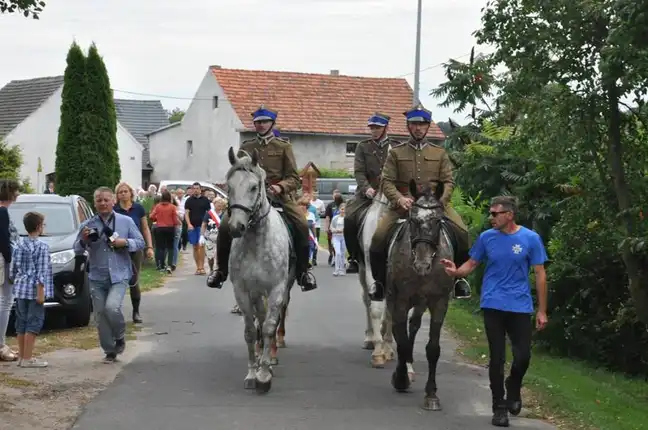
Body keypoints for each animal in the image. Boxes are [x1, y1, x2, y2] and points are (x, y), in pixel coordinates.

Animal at [223, 147, 294, 394]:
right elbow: (250, 331)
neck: (256, 242)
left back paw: (271, 356)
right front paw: (252, 374)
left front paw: (264, 376)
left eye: (254, 187)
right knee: (260, 319)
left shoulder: (276, 290)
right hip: (256, 293)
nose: (236, 227)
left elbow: (269, 327)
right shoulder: (243, 291)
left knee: (274, 319)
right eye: (229, 186)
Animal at [390, 178, 456, 410]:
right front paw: (400, 379)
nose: (422, 265)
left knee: (414, 324)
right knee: (396, 329)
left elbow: (433, 349)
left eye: (437, 221)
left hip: (421, 302)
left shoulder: (439, 302)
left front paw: (431, 394)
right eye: (413, 219)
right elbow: (400, 341)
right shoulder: (400, 300)